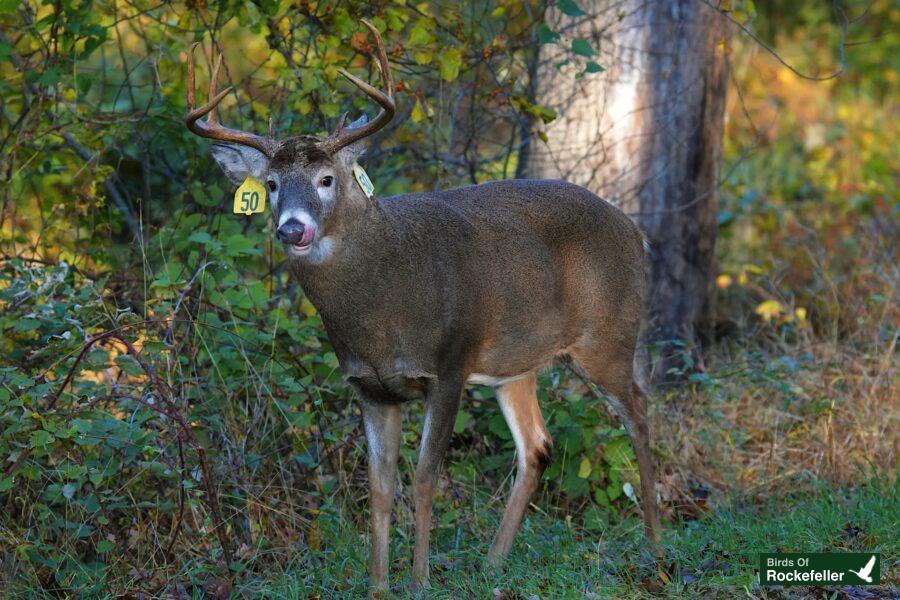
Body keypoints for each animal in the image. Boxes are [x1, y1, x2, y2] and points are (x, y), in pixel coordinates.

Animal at [185, 21, 660, 592]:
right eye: (272, 185)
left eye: (327, 179)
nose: (292, 228)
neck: (382, 310)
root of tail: (635, 231)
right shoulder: (369, 386)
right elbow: (380, 489)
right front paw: (378, 587)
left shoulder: (449, 365)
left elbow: (425, 477)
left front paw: (419, 582)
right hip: (515, 363)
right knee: (538, 446)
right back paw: (493, 564)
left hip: (609, 335)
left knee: (639, 414)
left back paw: (657, 545)